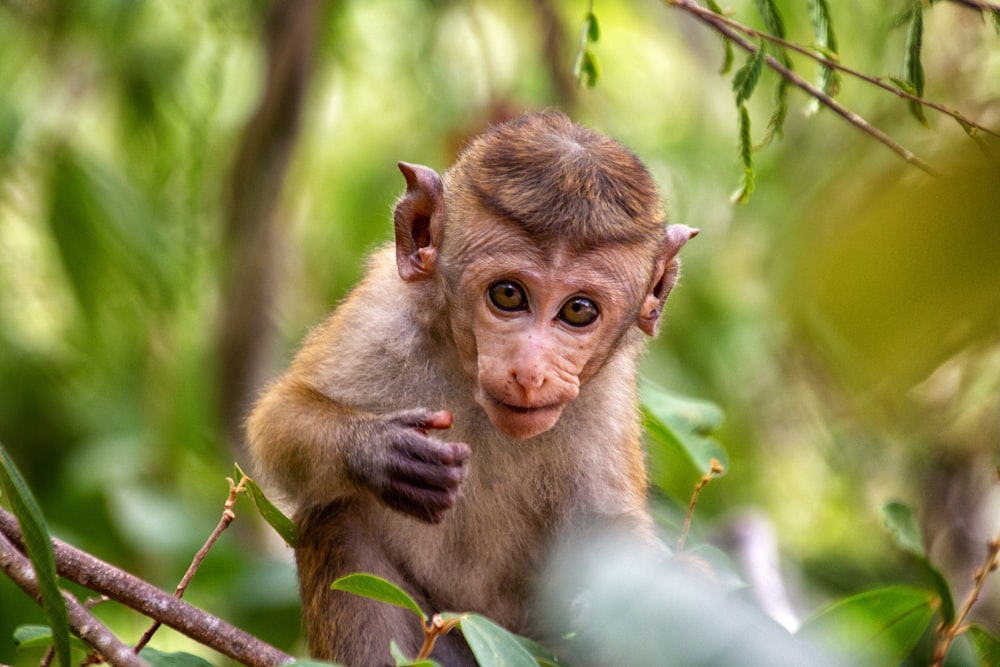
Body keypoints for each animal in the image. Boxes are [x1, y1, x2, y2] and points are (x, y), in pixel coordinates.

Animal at [244, 112, 696, 664]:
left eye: (578, 310)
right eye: (508, 295)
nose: (530, 373)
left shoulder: (605, 393)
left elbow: (609, 530)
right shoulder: (382, 313)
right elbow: (279, 418)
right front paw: (379, 451)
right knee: (338, 517)